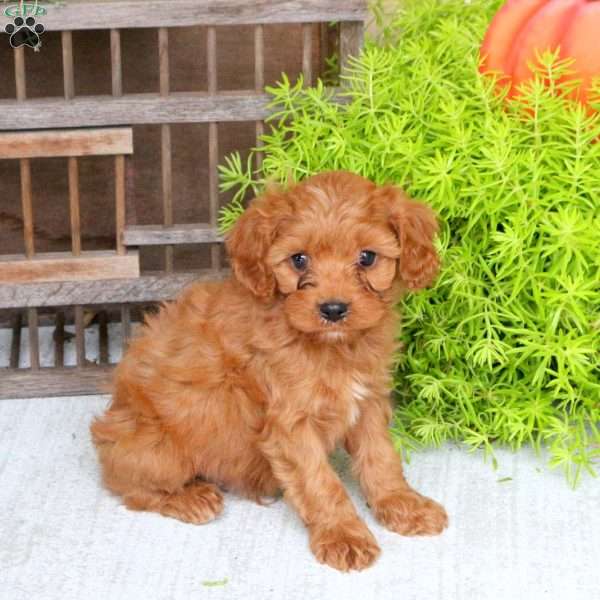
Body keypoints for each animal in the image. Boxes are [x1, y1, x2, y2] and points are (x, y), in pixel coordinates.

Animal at [91, 170, 448, 572]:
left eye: (367, 257)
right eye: (299, 260)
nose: (333, 309)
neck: (332, 346)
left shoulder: (367, 401)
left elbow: (381, 458)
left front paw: (402, 505)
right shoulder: (291, 425)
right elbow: (321, 482)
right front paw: (344, 536)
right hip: (157, 451)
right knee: (131, 489)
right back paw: (190, 499)